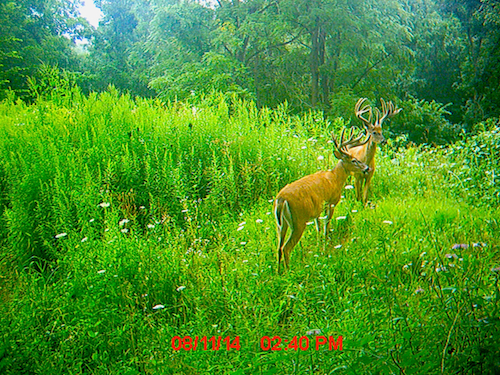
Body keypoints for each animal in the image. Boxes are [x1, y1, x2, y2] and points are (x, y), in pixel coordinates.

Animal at [276, 129, 370, 270]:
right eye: (354, 160)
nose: (367, 168)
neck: (335, 178)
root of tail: (281, 200)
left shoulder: (316, 212)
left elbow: (318, 229)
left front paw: (320, 247)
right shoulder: (331, 202)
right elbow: (326, 226)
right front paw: (326, 248)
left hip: (281, 224)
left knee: (279, 247)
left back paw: (278, 271)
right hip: (298, 221)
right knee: (286, 248)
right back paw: (289, 271)